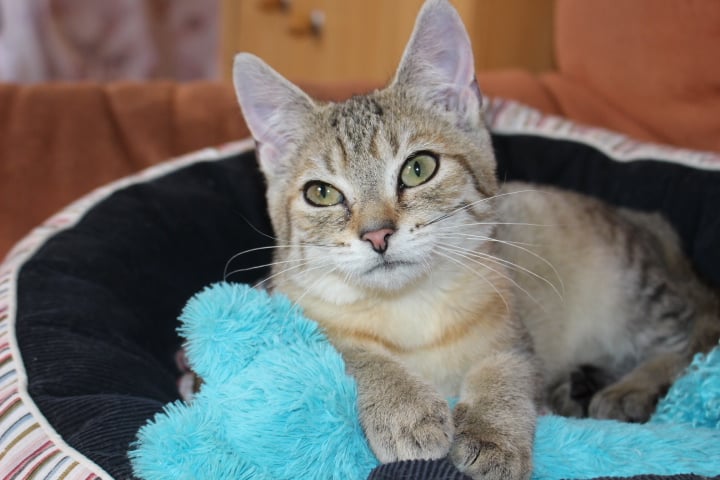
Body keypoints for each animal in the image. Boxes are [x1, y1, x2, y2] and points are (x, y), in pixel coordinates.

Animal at [232, 0, 720, 480]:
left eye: (418, 168)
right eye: (321, 193)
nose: (377, 234)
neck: (408, 308)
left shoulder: (514, 334)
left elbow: (505, 370)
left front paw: (493, 432)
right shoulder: (294, 314)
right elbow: (354, 352)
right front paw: (404, 408)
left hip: (631, 287)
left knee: (691, 337)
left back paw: (629, 388)